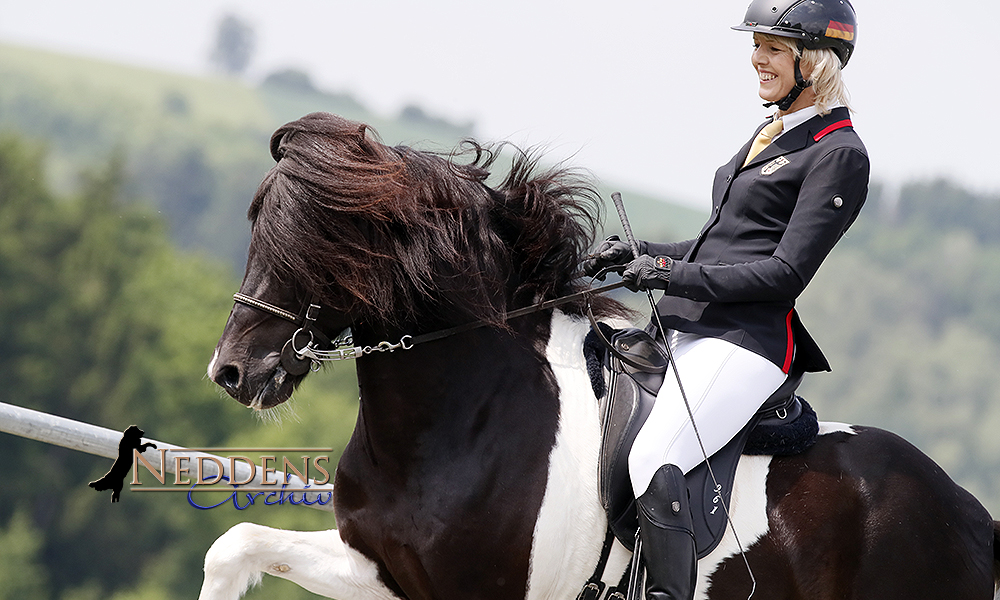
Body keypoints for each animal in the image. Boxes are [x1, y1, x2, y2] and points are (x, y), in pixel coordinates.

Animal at [205, 113, 1000, 600]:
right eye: (254, 223)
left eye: (317, 243)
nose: (234, 372)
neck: (456, 420)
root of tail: (969, 512)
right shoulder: (379, 570)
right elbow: (234, 546)